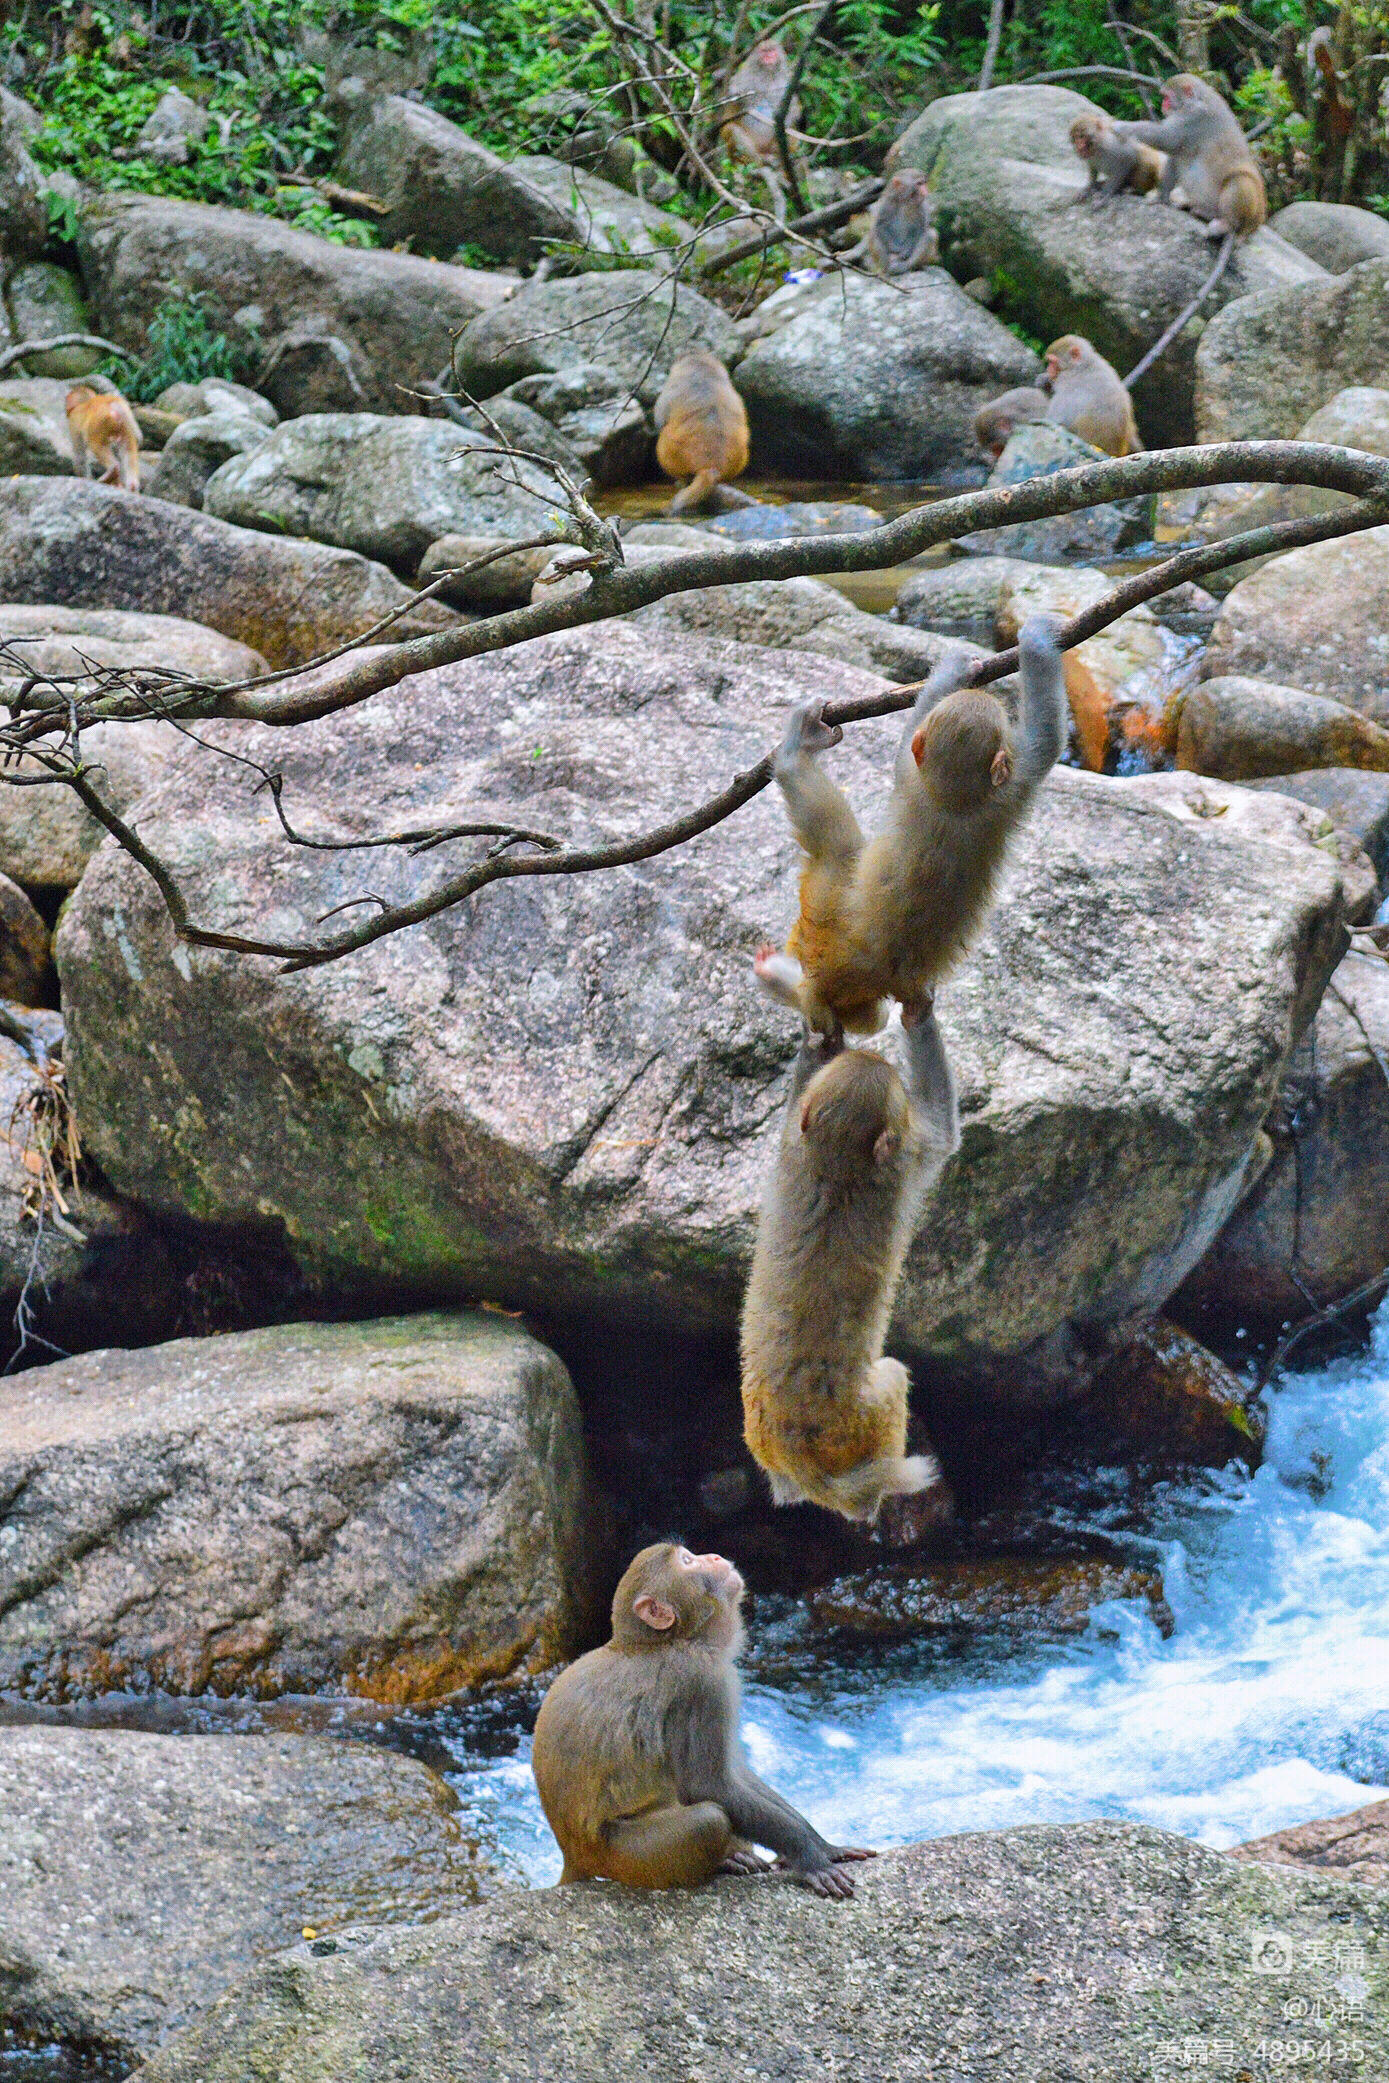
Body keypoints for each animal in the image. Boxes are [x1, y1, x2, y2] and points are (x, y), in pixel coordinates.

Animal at [528, 1541, 870, 1899]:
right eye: (688, 1561)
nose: (715, 1557)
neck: (669, 1641)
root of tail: (573, 1853)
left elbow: (735, 1774)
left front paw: (825, 1846)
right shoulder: (700, 1683)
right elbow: (709, 1785)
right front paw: (809, 1856)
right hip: (627, 1856)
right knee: (709, 1819)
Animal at [653, 349, 749, 512]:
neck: (702, 369)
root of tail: (709, 468)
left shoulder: (671, 388)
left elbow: (660, 417)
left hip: (667, 452)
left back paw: (680, 481)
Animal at [753, 612, 1074, 1041]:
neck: (951, 797)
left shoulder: (982, 782)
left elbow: (1042, 737)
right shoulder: (983, 778)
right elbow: (1045, 738)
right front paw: (1010, 648)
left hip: (827, 936)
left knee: (834, 848)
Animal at [1116, 74, 1274, 237]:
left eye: (1167, 97)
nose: (1163, 105)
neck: (1196, 99)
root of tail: (1259, 219)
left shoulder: (1194, 117)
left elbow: (1167, 138)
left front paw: (1123, 127)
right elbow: (1174, 154)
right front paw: (1161, 198)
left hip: (1251, 210)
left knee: (1239, 180)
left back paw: (1225, 224)